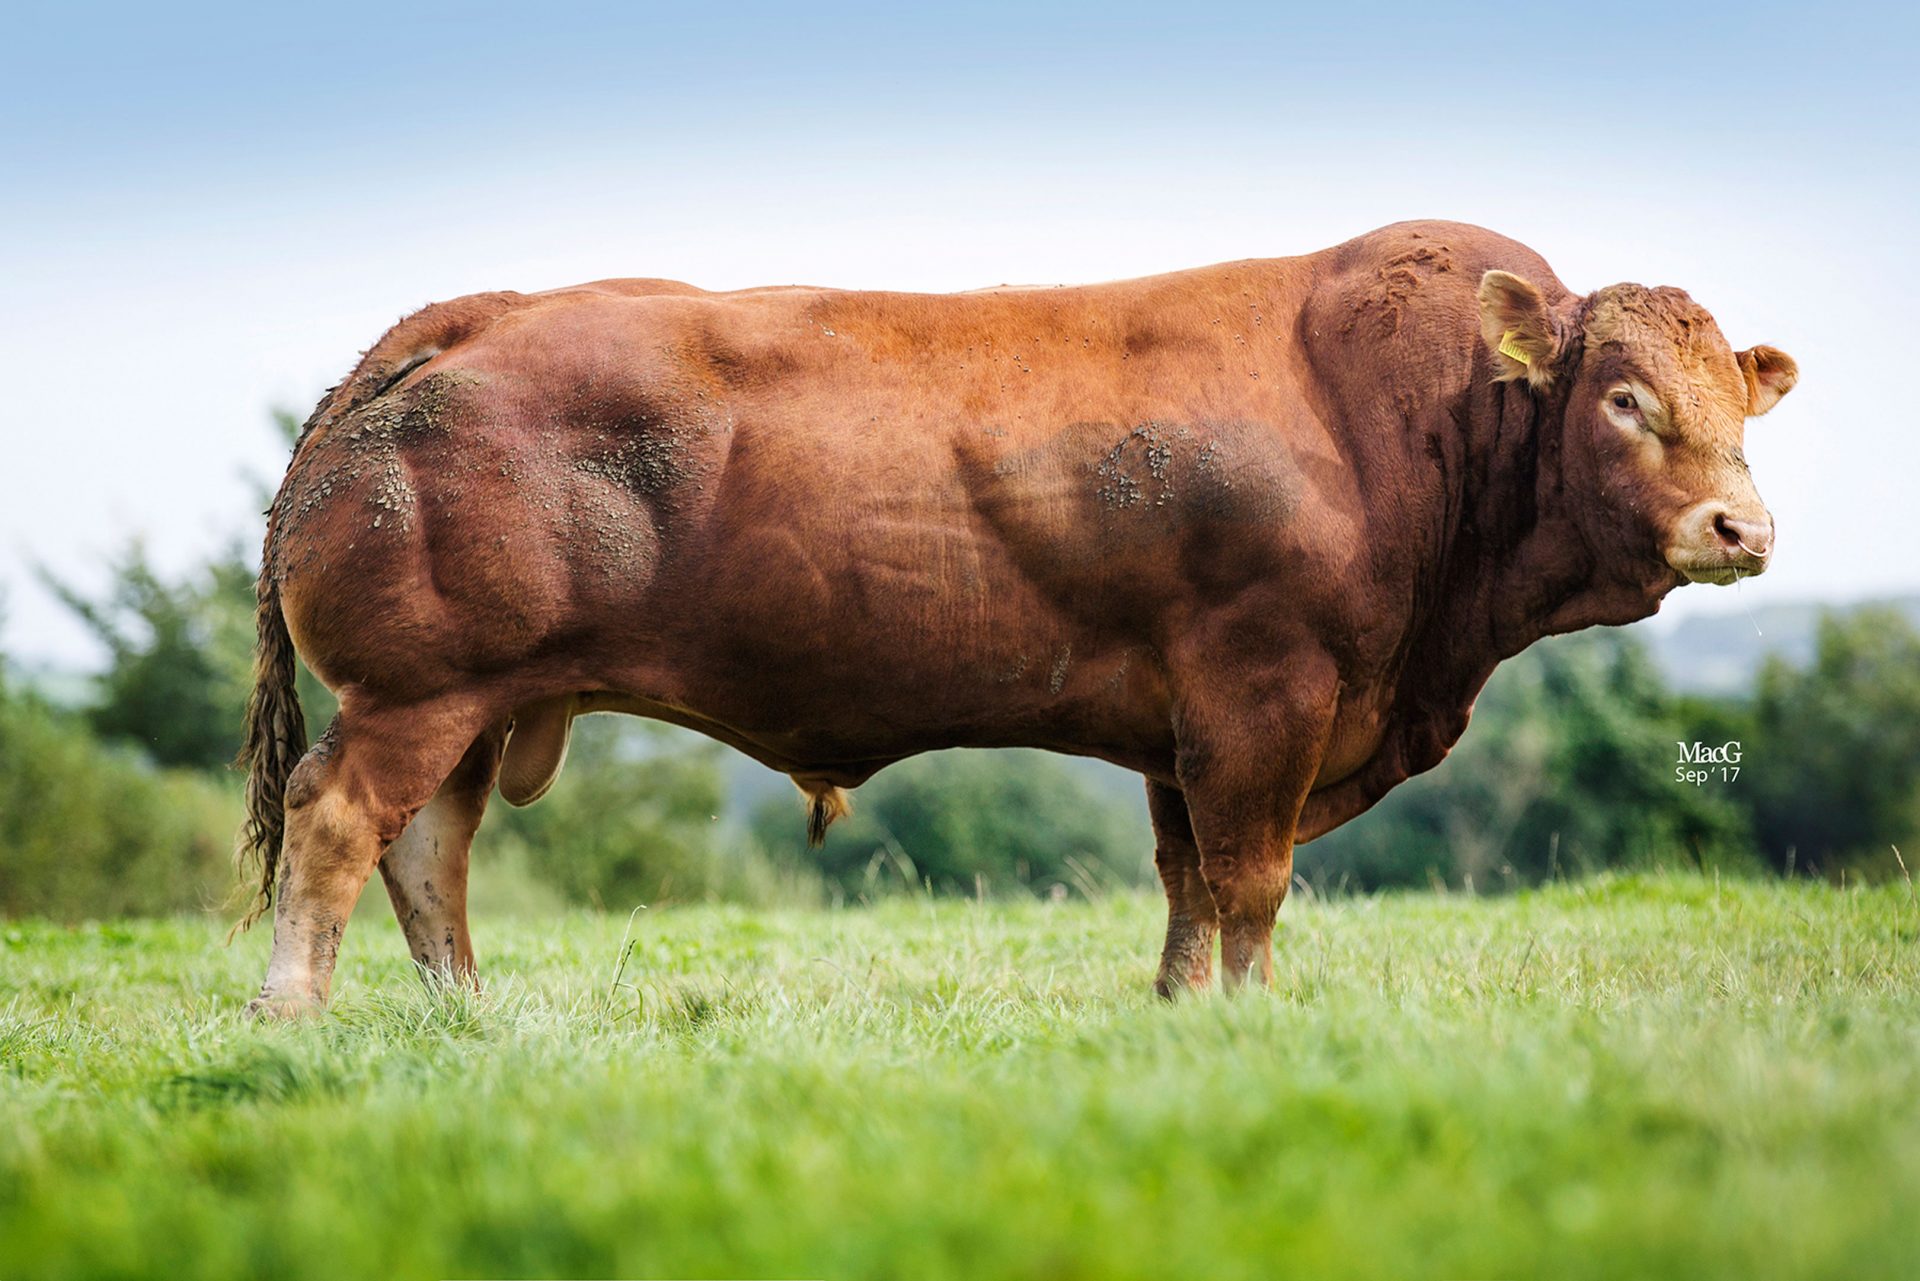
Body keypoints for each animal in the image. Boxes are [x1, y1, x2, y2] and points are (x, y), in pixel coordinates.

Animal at [232, 225, 1789, 1014]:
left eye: (1739, 399)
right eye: (1625, 398)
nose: (1743, 530)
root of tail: (466, 315)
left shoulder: (1186, 728)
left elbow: (1186, 881)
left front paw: (1180, 1016)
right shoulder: (1266, 693)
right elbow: (1251, 881)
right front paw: (1252, 1021)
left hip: (477, 702)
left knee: (429, 849)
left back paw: (464, 1016)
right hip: (419, 690)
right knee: (340, 820)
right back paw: (292, 1013)